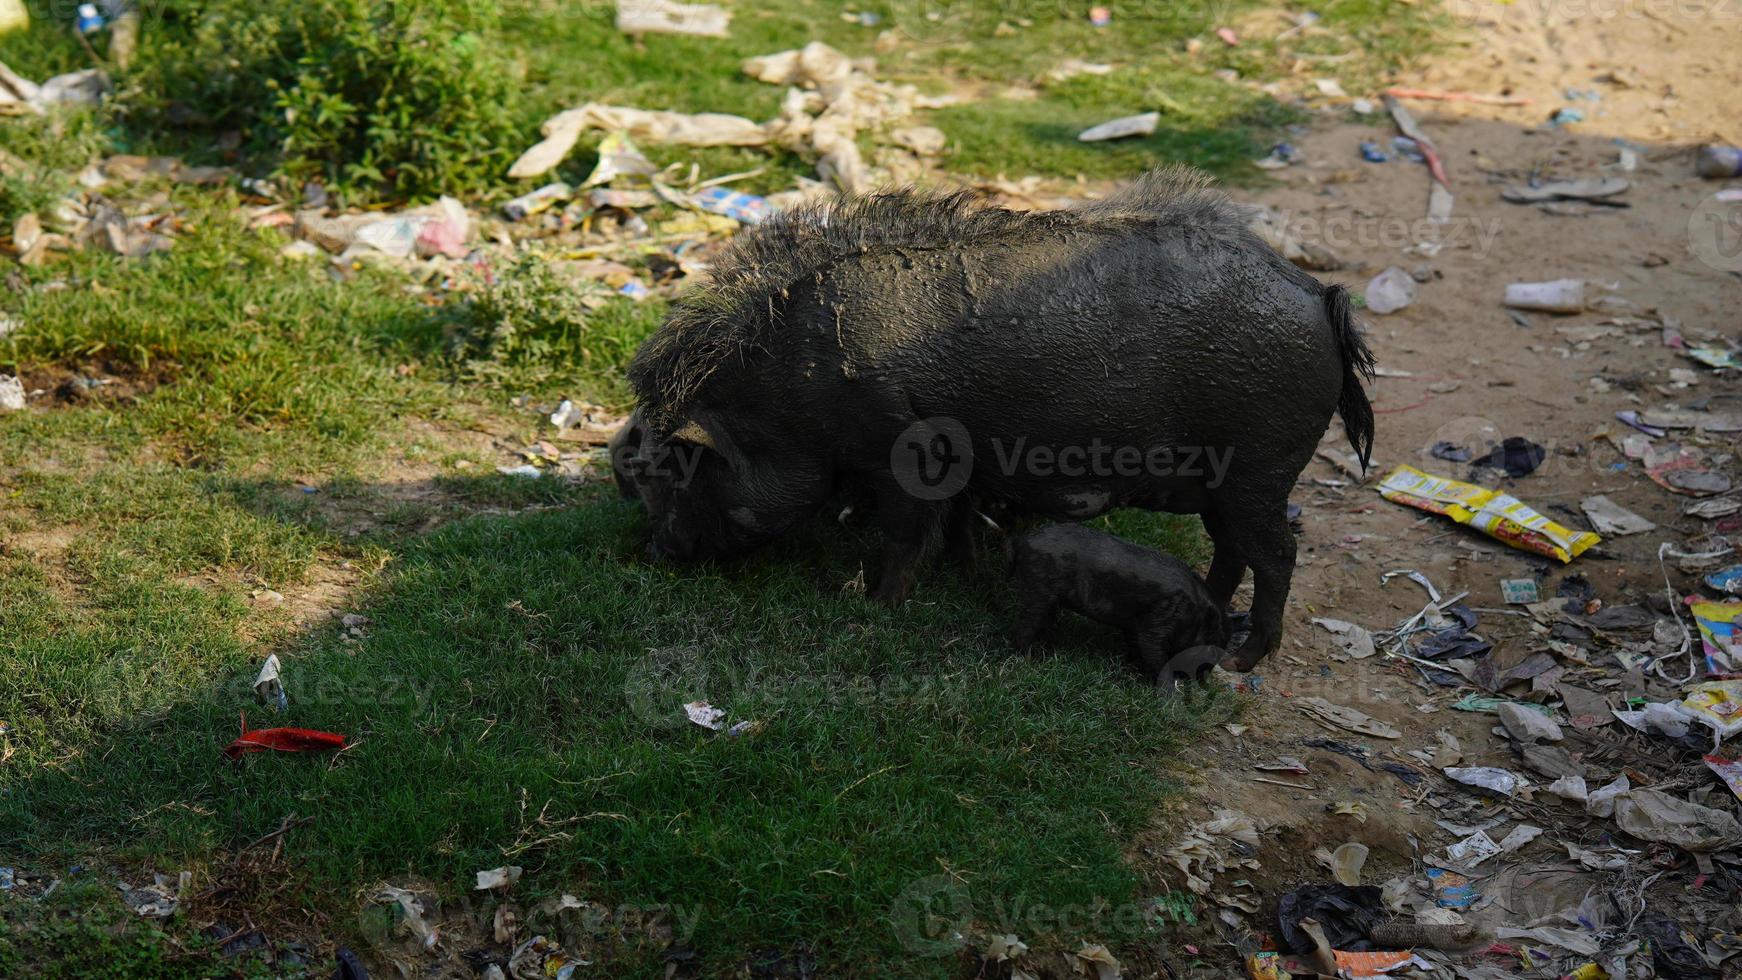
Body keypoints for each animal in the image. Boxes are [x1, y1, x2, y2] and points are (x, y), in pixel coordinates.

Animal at [1003, 525, 1233, 685]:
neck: (1193, 614)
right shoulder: (1159, 621)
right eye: (1212, 649)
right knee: (1025, 625)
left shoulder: (1135, 624)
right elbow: (1154, 652)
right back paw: (1029, 660)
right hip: (1037, 589)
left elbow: (1135, 645)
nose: (1203, 681)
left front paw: (1132, 668)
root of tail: (1022, 540)